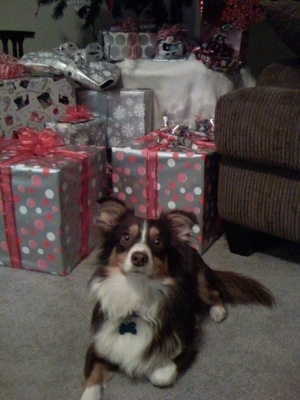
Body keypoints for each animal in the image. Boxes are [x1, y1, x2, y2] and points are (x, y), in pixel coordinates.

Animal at [79, 198, 274, 400]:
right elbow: (92, 380)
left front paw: (147, 366)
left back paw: (218, 311)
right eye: (126, 237)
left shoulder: (187, 342)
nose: (139, 257)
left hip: (199, 281)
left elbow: (160, 374)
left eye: (158, 242)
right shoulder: (98, 344)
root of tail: (190, 247)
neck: (136, 292)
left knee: (214, 293)